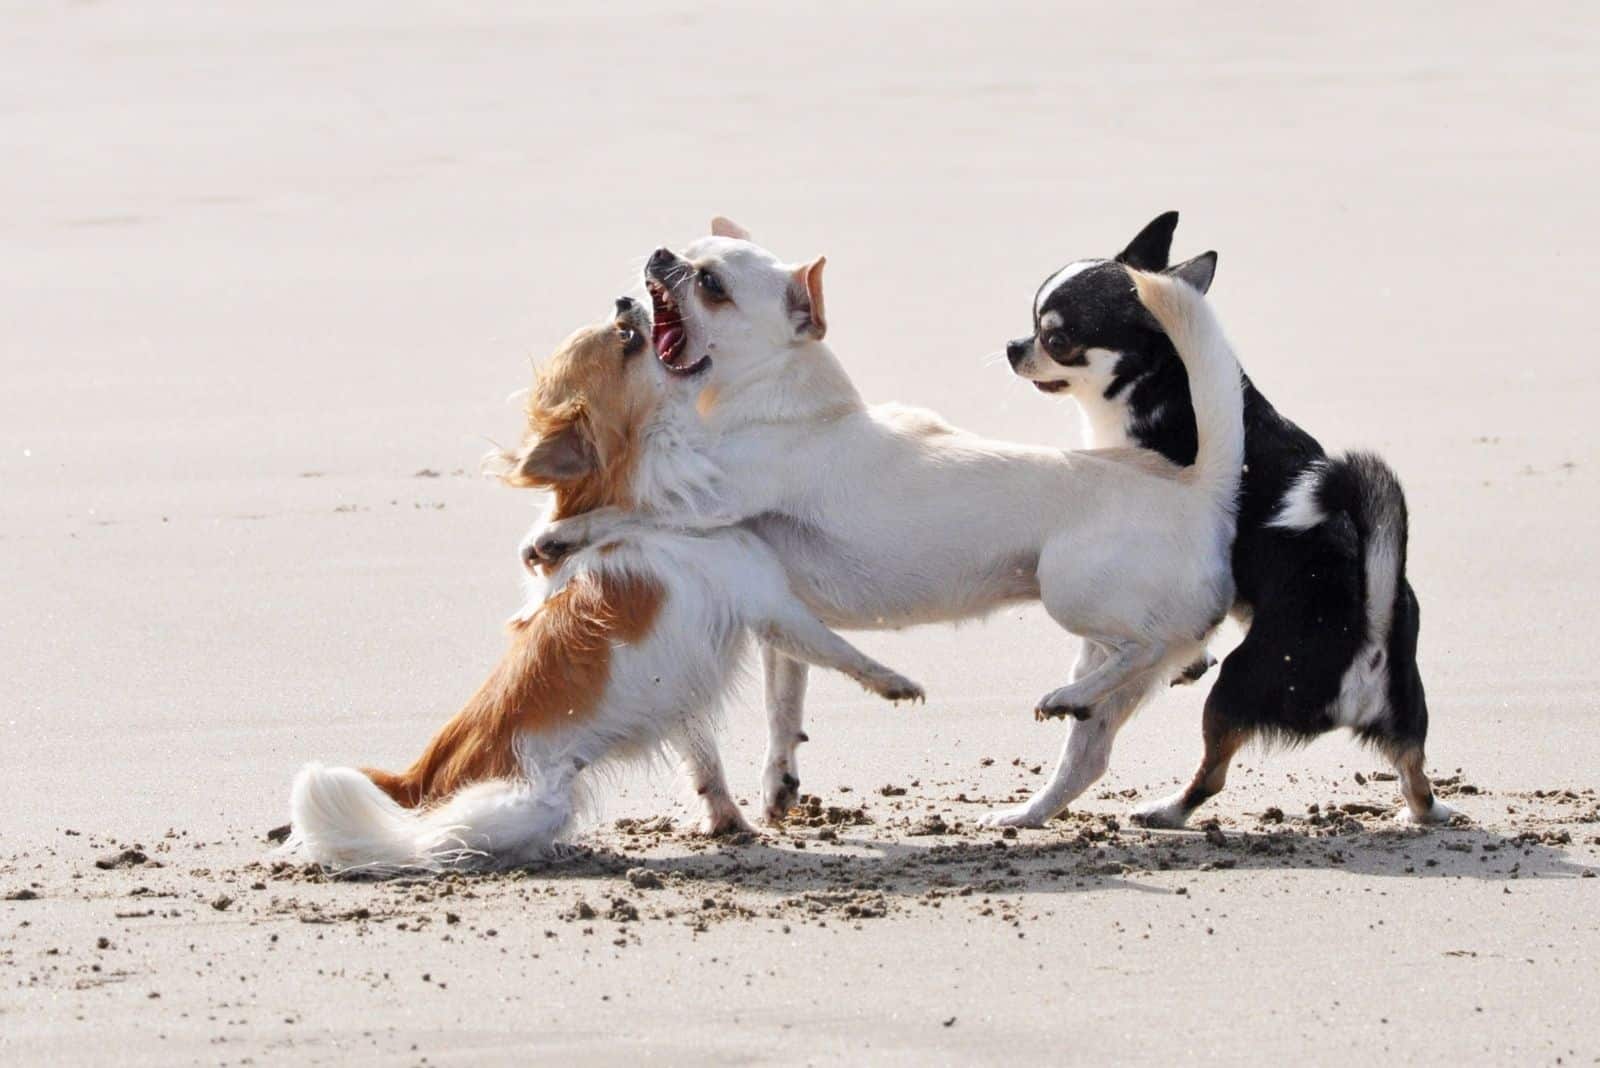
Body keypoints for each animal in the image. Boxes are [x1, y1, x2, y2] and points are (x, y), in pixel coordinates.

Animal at [281, 295, 921, 869]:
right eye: (627, 340)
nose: (624, 299)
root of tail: (419, 774)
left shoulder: (683, 688)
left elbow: (705, 763)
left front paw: (728, 822)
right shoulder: (770, 603)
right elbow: (838, 650)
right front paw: (895, 683)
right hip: (526, 802)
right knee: (431, 844)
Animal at [531, 223, 1241, 824]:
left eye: (711, 285)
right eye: (686, 248)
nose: (660, 255)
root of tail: (1198, 490)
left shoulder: (713, 500)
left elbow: (629, 510)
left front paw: (558, 535)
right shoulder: (780, 618)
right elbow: (783, 706)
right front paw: (778, 783)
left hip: (1070, 593)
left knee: (1152, 643)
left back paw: (1066, 699)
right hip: (1092, 643)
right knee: (1096, 740)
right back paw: (1030, 801)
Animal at [1011, 211, 1465, 824]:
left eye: (1057, 339)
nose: (1013, 347)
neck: (1162, 379)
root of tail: (1369, 630)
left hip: (1236, 688)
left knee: (1212, 773)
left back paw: (1165, 808)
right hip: (1405, 712)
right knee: (1415, 773)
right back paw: (1425, 811)